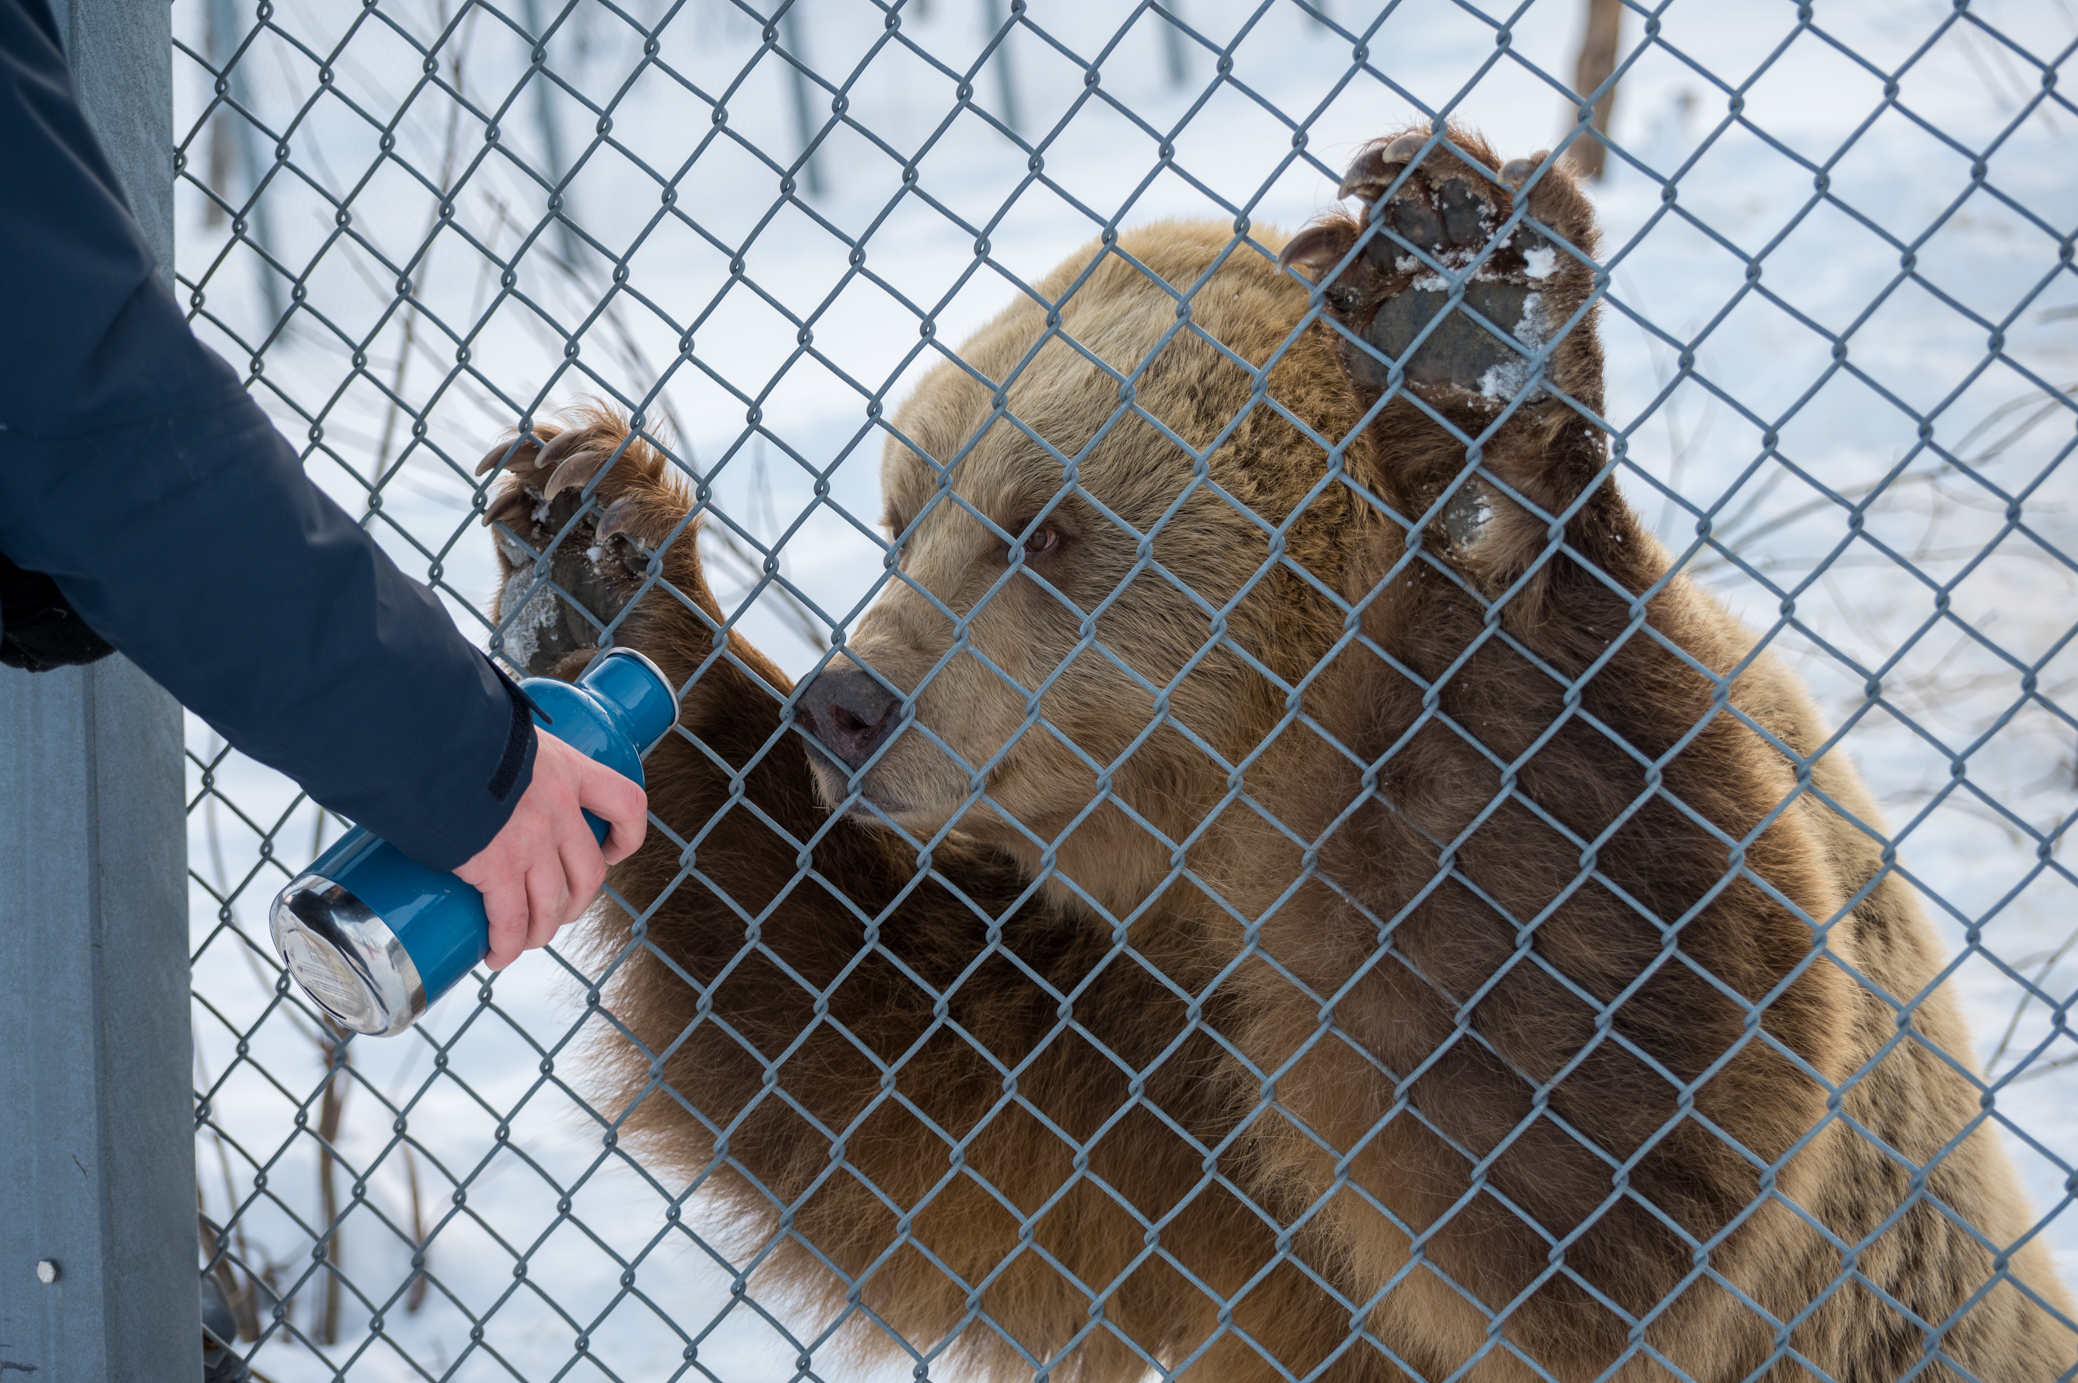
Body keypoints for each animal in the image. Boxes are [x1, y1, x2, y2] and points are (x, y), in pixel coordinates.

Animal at [473, 126, 2077, 1381]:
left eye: (1043, 526)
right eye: (905, 508)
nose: (849, 702)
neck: (1246, 844)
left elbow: (1591, 1152)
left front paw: (1466, 331)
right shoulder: (1161, 1061)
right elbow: (893, 1081)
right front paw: (598, 556)